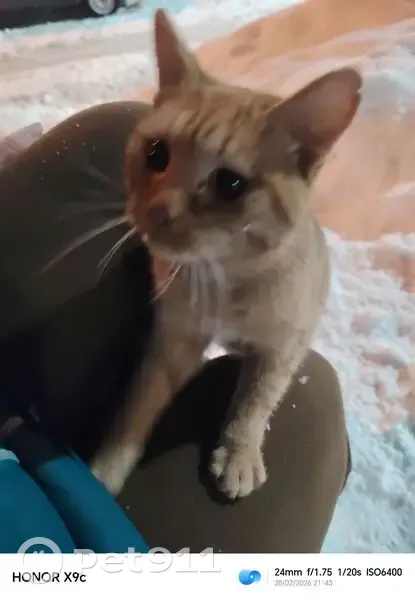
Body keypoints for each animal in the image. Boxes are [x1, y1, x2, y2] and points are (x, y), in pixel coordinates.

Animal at [92, 9, 362, 499]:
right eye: (156, 153)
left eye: (229, 184)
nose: (156, 213)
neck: (224, 280)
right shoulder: (173, 341)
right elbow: (136, 407)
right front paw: (104, 473)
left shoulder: (282, 348)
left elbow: (255, 401)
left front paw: (239, 454)